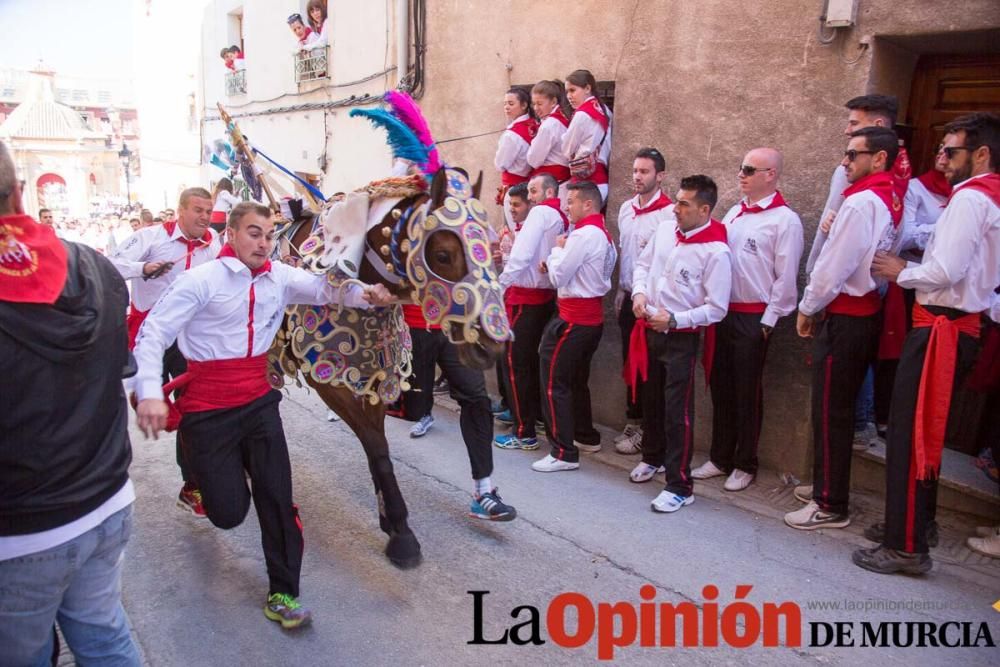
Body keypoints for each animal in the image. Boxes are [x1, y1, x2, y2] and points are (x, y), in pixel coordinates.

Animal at [222, 94, 512, 568]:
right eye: (444, 254)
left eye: (492, 246)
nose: (493, 344)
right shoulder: (331, 381)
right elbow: (375, 445)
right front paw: (401, 533)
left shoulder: (377, 374)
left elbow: (378, 443)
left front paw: (390, 521)